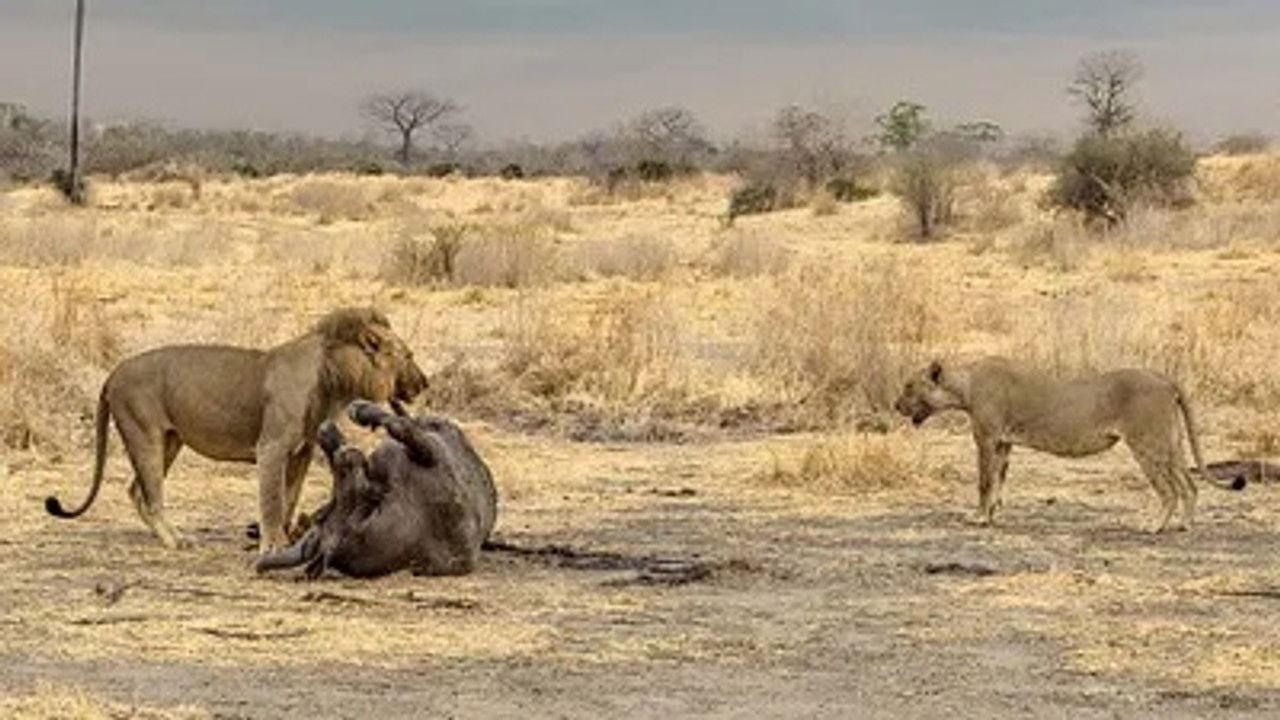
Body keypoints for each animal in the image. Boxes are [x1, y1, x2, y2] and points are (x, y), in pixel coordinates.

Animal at [45, 307, 428, 552]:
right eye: (408, 356)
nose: (425, 383)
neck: (333, 375)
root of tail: (112, 373)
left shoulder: (302, 452)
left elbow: (290, 497)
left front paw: (288, 537)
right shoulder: (272, 447)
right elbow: (272, 500)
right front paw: (273, 545)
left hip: (170, 441)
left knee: (136, 491)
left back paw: (165, 536)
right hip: (144, 434)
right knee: (150, 494)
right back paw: (176, 540)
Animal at [893, 356, 1243, 532]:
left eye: (909, 386)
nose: (896, 406)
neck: (965, 385)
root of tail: (1165, 378)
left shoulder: (986, 437)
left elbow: (983, 482)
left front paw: (977, 518)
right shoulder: (1004, 442)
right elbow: (998, 483)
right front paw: (992, 516)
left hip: (1147, 442)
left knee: (1169, 489)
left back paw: (1153, 526)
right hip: (1170, 440)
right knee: (1189, 483)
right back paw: (1185, 525)